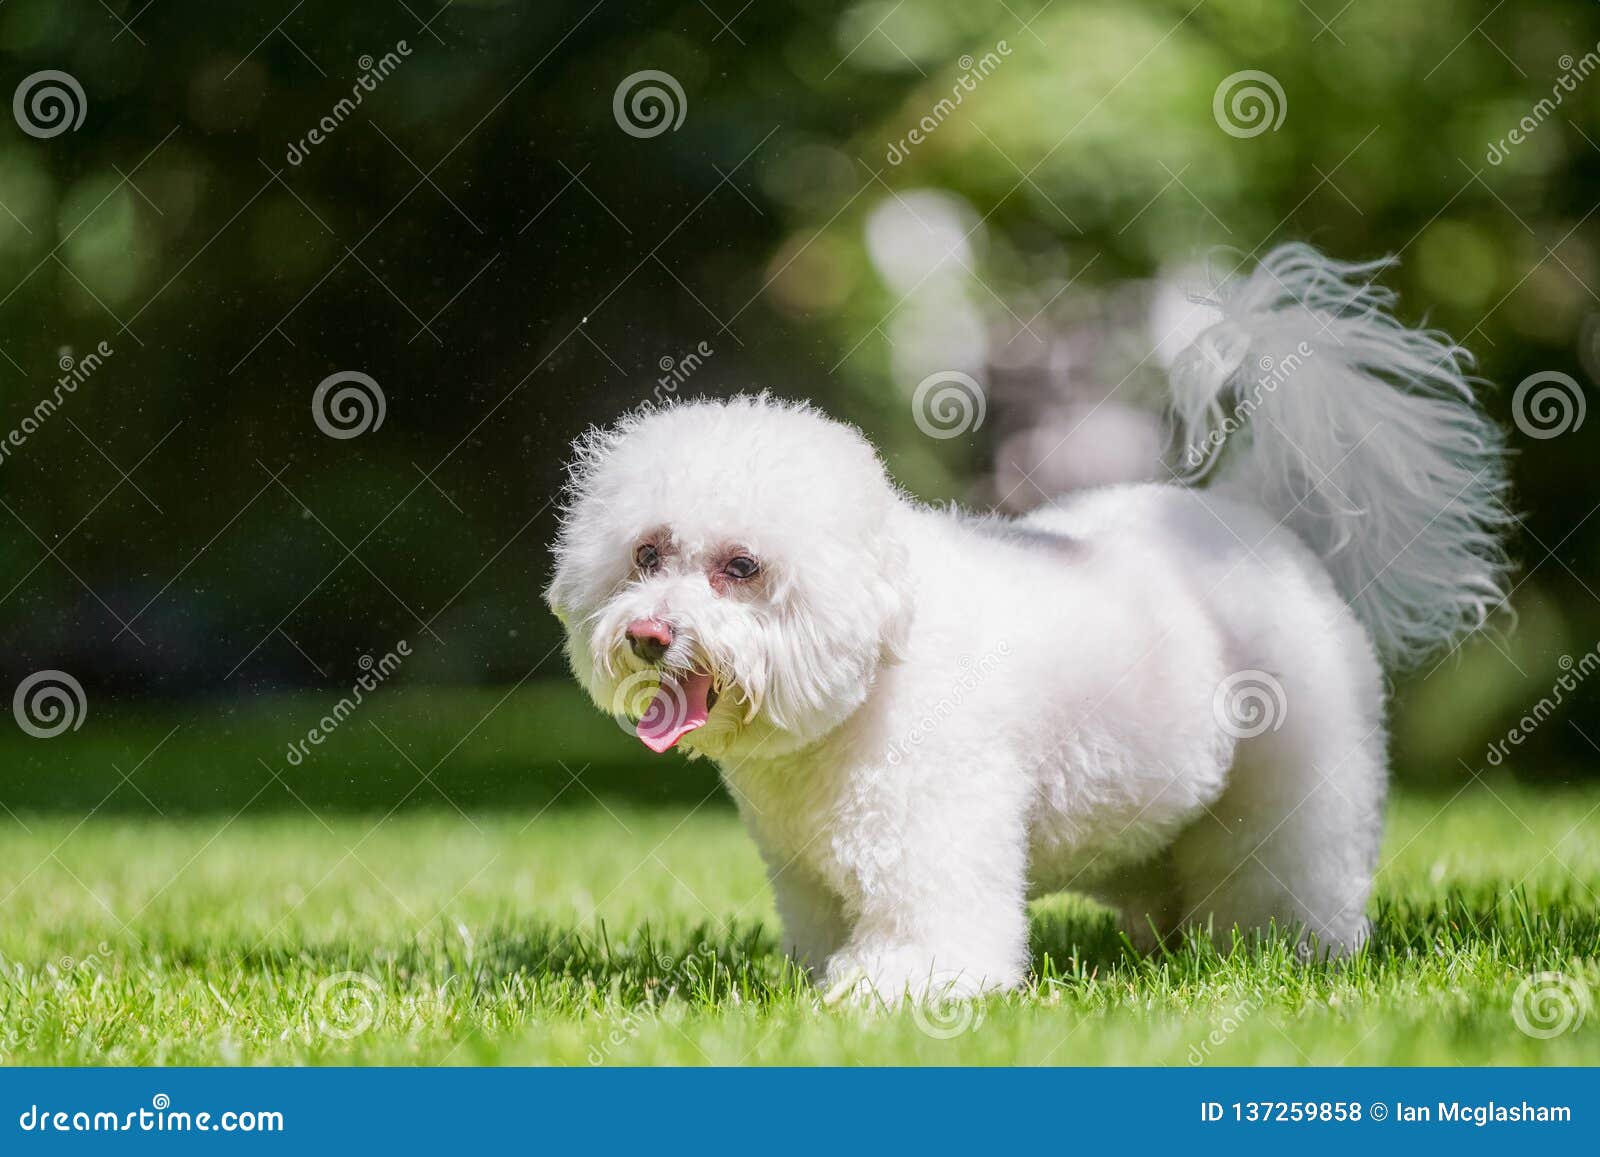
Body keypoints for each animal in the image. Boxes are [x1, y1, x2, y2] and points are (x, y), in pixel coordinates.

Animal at [544, 246, 1504, 1004]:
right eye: (645, 554)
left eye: (741, 567)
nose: (649, 635)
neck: (876, 664)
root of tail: (1250, 514)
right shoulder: (806, 873)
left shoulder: (934, 825)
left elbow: (934, 930)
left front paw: (893, 991)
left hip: (1294, 785)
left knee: (1288, 875)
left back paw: (1292, 954)